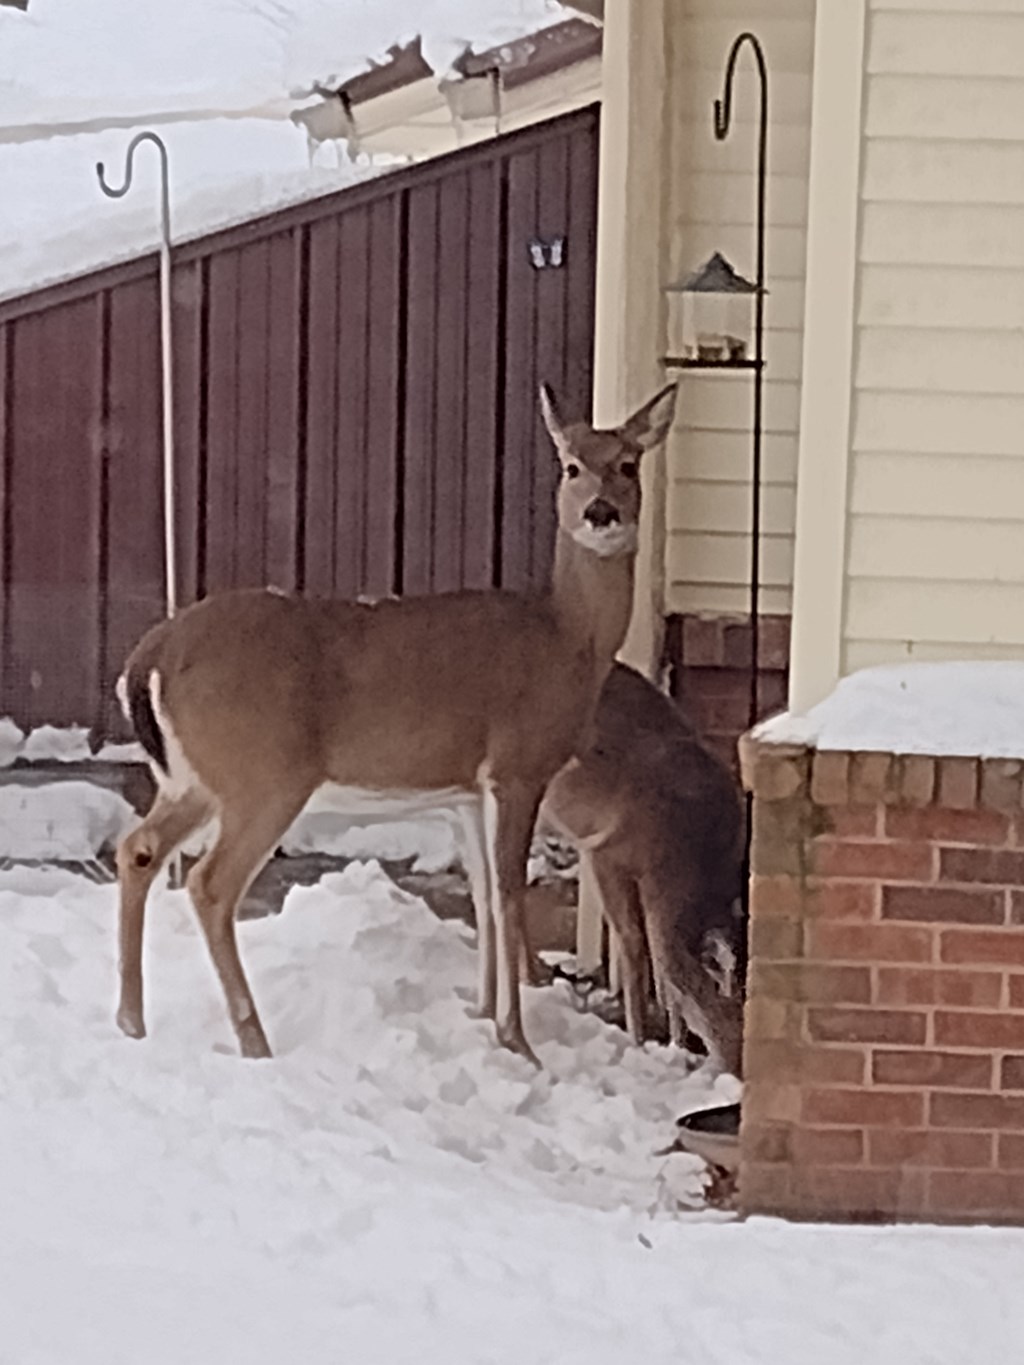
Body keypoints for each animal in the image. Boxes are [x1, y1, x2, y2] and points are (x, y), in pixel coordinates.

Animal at [113, 381, 678, 1066]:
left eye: (628, 464)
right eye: (571, 466)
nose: (600, 512)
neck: (567, 639)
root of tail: (152, 655)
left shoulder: (466, 790)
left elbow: (484, 899)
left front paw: (482, 1015)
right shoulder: (518, 765)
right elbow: (510, 895)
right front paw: (519, 1042)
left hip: (192, 779)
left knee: (138, 850)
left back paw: (131, 1022)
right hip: (264, 777)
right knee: (209, 884)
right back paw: (254, 1041)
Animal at [536, 661, 746, 1075]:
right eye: (738, 1012)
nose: (739, 1069)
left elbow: (664, 973)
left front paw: (677, 1044)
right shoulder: (609, 854)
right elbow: (634, 944)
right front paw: (639, 1042)